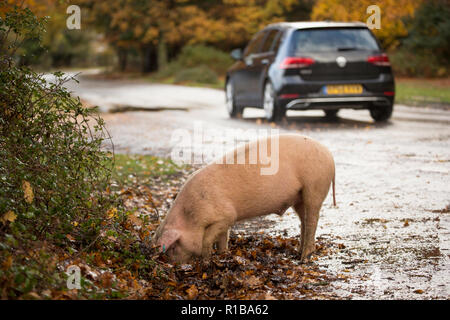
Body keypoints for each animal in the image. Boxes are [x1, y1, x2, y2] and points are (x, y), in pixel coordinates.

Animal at [153, 132, 336, 262]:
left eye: (174, 247)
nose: (176, 265)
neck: (191, 215)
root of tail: (329, 156)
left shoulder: (226, 215)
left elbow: (208, 239)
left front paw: (207, 260)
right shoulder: (224, 221)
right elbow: (222, 238)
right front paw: (223, 255)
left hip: (315, 186)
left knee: (312, 220)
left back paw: (304, 258)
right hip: (299, 197)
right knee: (303, 221)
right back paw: (297, 253)